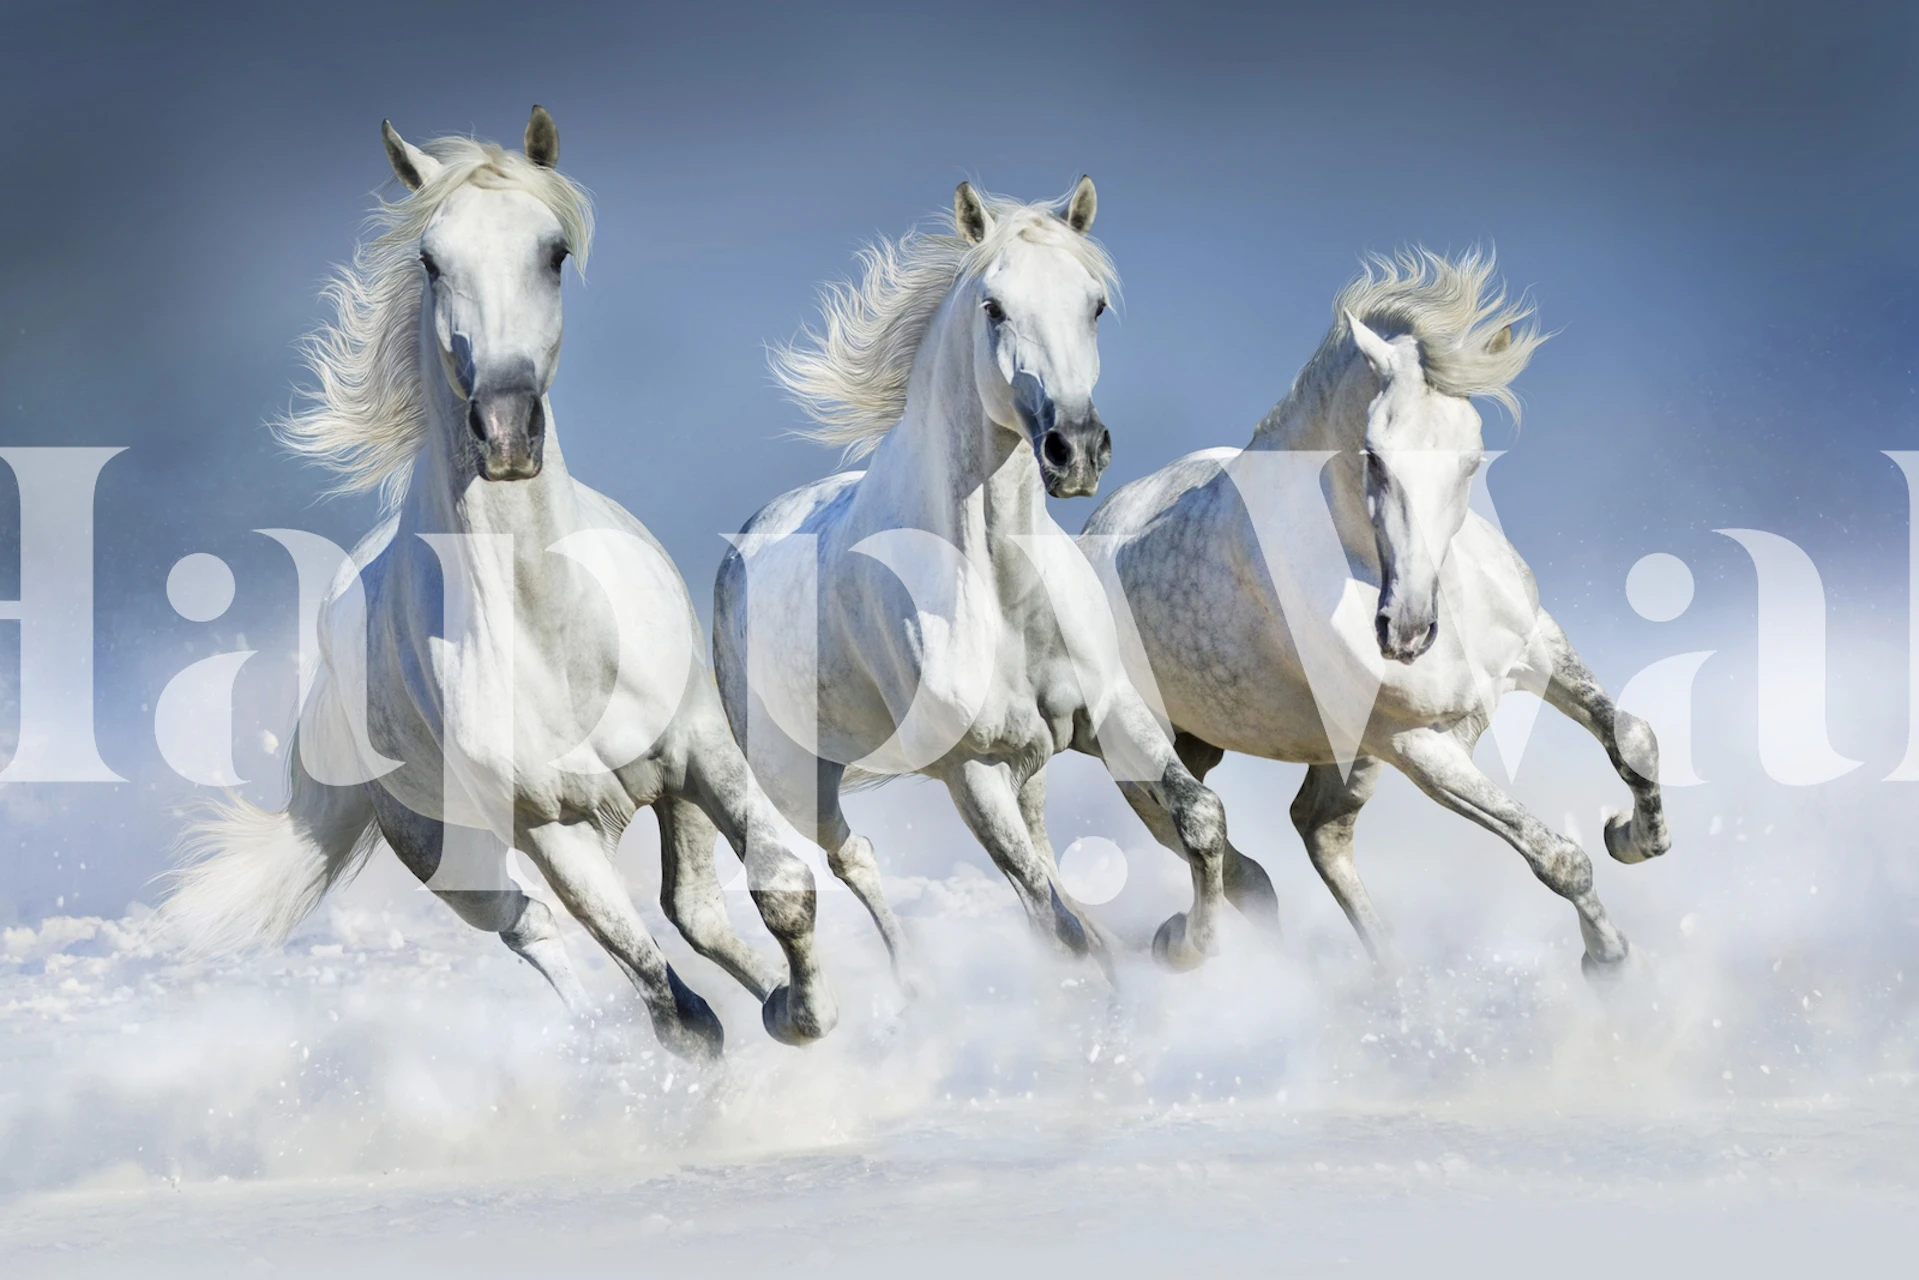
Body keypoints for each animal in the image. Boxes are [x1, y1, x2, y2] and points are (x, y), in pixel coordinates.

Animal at [163, 108, 839, 1058]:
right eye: (430, 260)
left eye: (553, 252)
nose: (507, 429)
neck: (553, 631)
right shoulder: (552, 826)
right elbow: (669, 1004)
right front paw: (769, 1029)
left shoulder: (700, 752)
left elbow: (780, 888)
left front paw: (805, 1013)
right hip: (452, 857)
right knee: (540, 931)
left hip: (666, 794)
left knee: (694, 910)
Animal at [714, 181, 1278, 978]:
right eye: (993, 307)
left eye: (1094, 305)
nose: (1075, 449)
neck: (1002, 590)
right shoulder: (971, 772)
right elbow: (1052, 922)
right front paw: (1163, 952)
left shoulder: (1114, 713)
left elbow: (1199, 819)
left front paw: (1182, 943)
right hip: (798, 778)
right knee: (855, 858)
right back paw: (911, 984)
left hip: (1028, 761)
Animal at [1073, 248, 1669, 977]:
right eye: (1374, 457)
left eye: (1472, 460)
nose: (1406, 632)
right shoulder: (1415, 745)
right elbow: (1557, 857)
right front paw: (1608, 960)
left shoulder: (1537, 648)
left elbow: (1633, 738)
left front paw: (1632, 837)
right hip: (1140, 747)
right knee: (1213, 843)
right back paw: (1189, 944)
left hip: (1290, 751)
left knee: (1316, 829)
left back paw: (1393, 979)